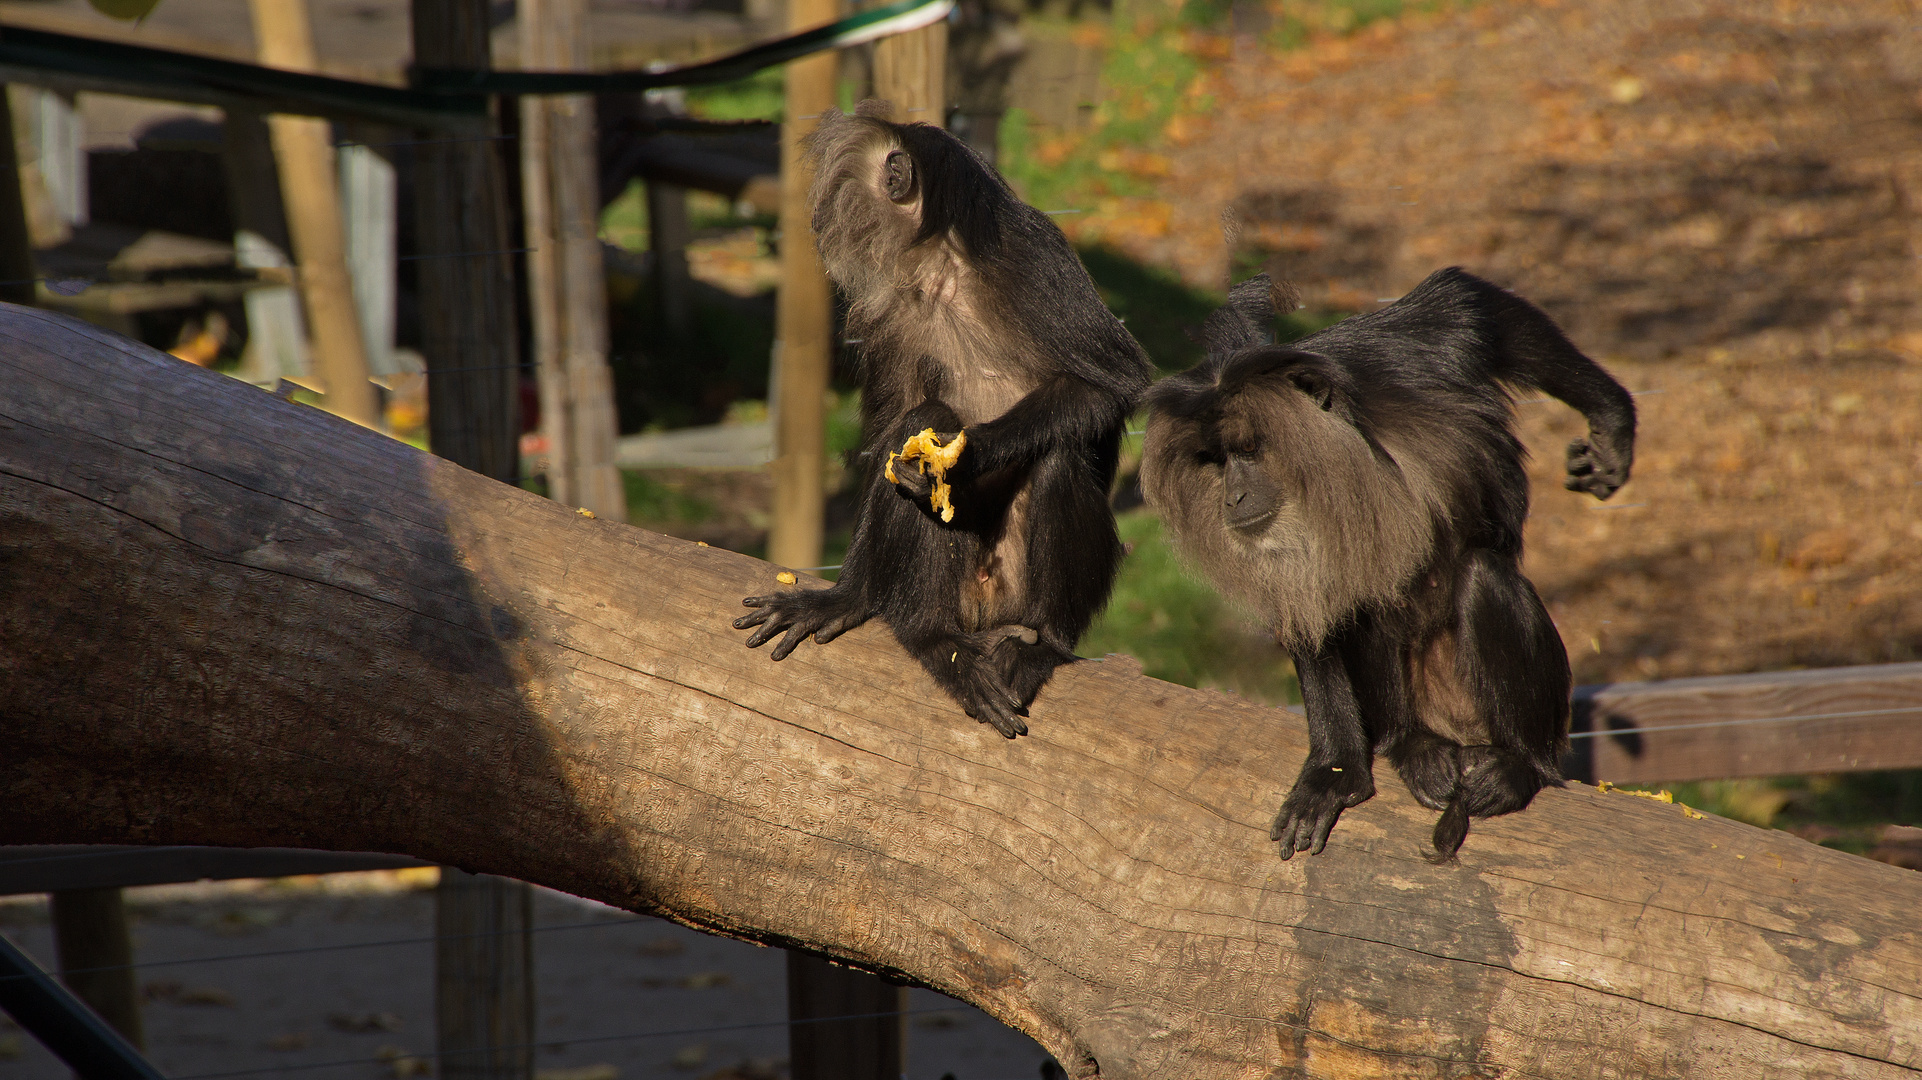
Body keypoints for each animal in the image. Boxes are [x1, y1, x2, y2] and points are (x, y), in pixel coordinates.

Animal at [734, 105, 1153, 734]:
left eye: (831, 203)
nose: (815, 223)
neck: (941, 266)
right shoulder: (887, 308)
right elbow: (888, 439)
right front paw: (848, 595)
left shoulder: (1029, 258)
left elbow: (1112, 385)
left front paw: (971, 454)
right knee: (920, 427)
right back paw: (934, 639)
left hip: (1013, 592)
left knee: (1058, 454)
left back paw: (1040, 641)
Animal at [1137, 269, 1637, 857]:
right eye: (1214, 462)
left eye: (1249, 451)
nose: (1232, 498)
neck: (1352, 467)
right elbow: (1312, 610)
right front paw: (1334, 771)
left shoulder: (1397, 360)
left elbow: (1471, 306)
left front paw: (1611, 420)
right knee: (1368, 605)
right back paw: (1412, 746)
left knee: (1481, 574)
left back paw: (1521, 764)